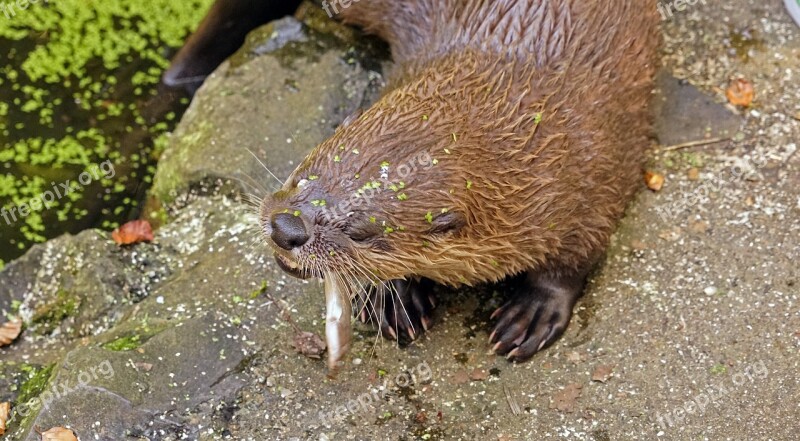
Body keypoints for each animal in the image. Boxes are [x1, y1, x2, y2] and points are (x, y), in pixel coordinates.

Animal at [216, 0, 660, 368]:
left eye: (362, 232)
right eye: (300, 174)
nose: (286, 227)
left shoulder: (602, 169)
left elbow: (577, 256)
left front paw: (534, 312)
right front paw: (395, 299)